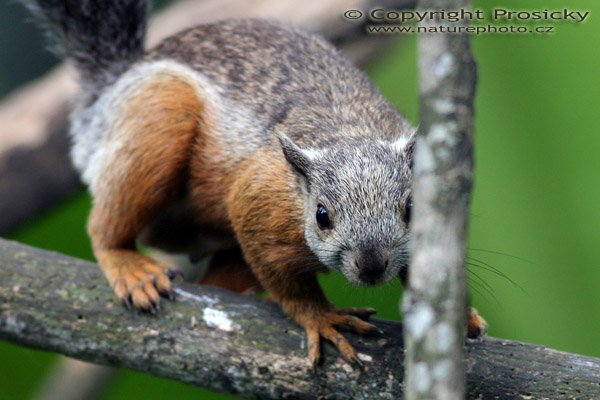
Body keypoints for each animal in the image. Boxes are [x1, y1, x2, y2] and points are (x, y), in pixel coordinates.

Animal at [23, 0, 488, 364]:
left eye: (413, 208)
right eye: (322, 215)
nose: (372, 266)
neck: (350, 134)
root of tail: (106, 96)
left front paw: (458, 312)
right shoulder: (258, 195)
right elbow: (284, 280)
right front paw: (321, 316)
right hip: (157, 120)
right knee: (106, 226)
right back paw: (129, 266)